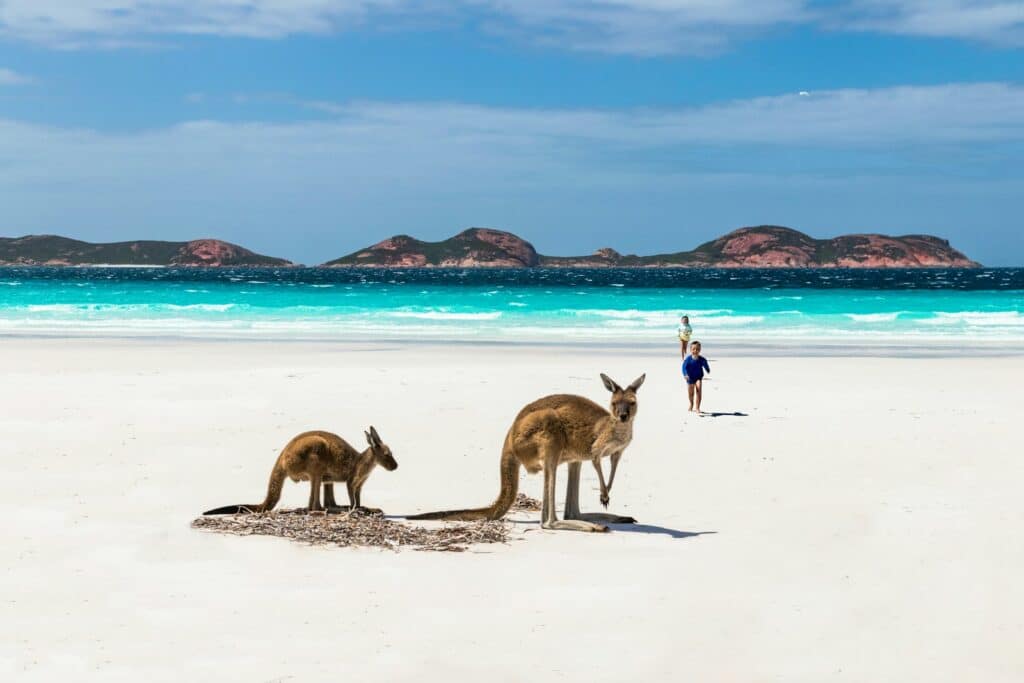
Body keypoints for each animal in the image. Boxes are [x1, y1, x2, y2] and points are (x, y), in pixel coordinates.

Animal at [203, 426, 397, 515]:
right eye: (388, 455)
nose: (396, 467)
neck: (365, 462)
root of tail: (282, 458)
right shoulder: (352, 480)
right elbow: (353, 497)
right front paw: (357, 509)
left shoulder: (359, 484)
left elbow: (357, 496)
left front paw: (362, 507)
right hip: (315, 457)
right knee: (314, 506)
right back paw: (337, 510)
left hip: (323, 475)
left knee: (323, 502)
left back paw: (340, 508)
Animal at [408, 373, 643, 532]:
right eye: (614, 403)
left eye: (632, 403)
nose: (623, 416)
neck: (614, 427)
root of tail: (510, 437)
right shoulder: (595, 448)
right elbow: (598, 463)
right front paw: (604, 494)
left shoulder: (617, 452)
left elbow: (612, 467)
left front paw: (607, 492)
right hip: (548, 434)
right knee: (547, 521)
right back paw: (590, 526)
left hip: (572, 455)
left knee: (571, 507)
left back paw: (607, 519)